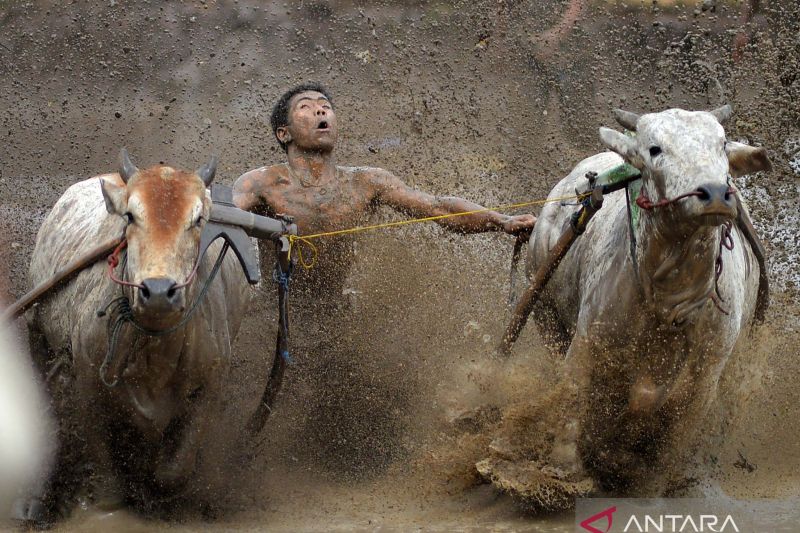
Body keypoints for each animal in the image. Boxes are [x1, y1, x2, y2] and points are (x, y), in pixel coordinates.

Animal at [24, 150, 250, 520]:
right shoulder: (88, 381)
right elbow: (106, 475)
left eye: (198, 219)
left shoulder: (212, 386)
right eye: (130, 215)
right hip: (37, 338)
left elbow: (173, 471)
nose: (158, 291)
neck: (156, 348)